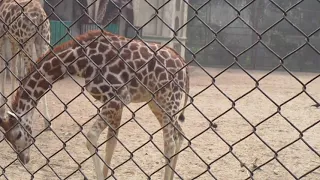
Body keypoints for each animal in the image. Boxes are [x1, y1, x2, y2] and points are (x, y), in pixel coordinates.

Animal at [0, 0, 52, 130]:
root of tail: (40, 15)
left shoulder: (2, 37)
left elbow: (4, 69)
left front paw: (3, 110)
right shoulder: (13, 41)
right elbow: (13, 70)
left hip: (26, 42)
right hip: (43, 41)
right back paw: (47, 120)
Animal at [0, 29, 189, 180]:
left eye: (17, 135)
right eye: (7, 139)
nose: (24, 159)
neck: (80, 62)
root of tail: (183, 65)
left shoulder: (117, 97)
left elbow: (92, 137)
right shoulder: (116, 102)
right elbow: (111, 144)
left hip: (169, 99)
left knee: (170, 143)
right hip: (157, 103)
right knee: (179, 135)